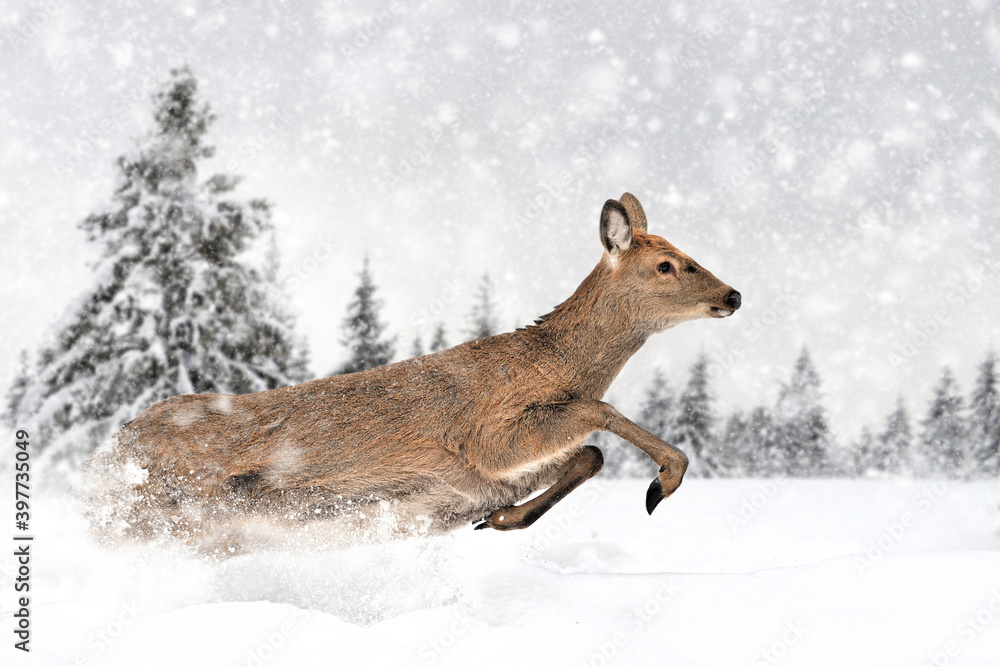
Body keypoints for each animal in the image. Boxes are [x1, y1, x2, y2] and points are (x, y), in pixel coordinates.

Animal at [82, 192, 740, 548]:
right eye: (666, 265)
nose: (732, 295)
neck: (551, 363)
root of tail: (102, 457)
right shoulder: (487, 433)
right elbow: (599, 415)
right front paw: (665, 480)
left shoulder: (499, 469)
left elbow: (590, 455)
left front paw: (500, 520)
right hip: (162, 510)